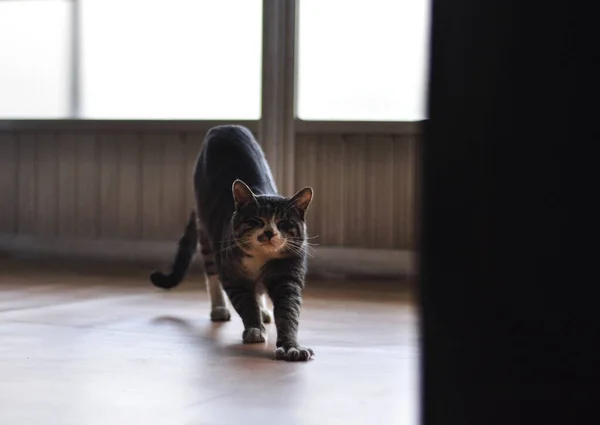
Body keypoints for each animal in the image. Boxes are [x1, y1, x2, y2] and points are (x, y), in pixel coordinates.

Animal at [151, 123, 314, 362]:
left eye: (284, 223)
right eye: (256, 221)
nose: (269, 233)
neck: (261, 258)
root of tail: (225, 127)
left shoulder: (289, 274)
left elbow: (288, 312)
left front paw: (291, 346)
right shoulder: (233, 276)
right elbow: (245, 303)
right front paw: (254, 328)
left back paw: (264, 310)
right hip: (206, 231)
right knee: (212, 273)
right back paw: (219, 308)